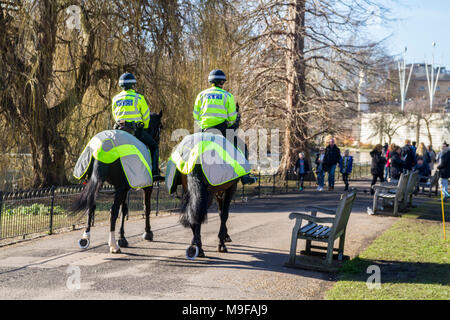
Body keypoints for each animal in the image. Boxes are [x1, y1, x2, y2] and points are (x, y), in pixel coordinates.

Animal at [69, 111, 163, 254]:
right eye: (160, 127)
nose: (158, 140)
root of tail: (101, 148)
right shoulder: (146, 186)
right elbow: (146, 207)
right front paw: (147, 233)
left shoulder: (125, 187)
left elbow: (124, 210)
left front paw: (122, 237)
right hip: (119, 188)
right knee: (112, 211)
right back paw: (113, 245)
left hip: (98, 182)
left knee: (91, 205)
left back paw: (86, 238)